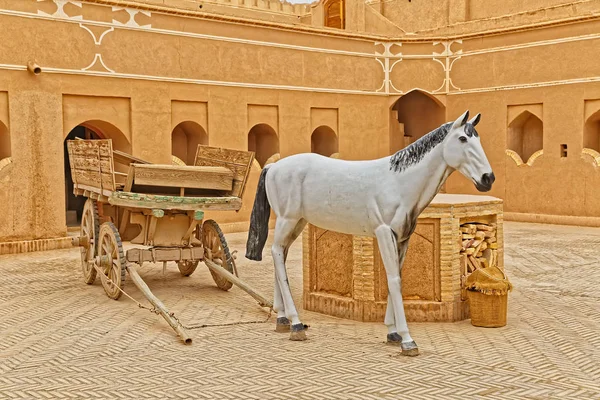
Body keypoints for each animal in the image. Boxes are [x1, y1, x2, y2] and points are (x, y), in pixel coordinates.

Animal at [246, 110, 494, 356]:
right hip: (287, 220)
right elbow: (394, 280)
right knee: (277, 253)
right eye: (462, 138)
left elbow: (397, 277)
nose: (488, 178)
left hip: (297, 222)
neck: (399, 183)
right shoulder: (384, 233)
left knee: (281, 253)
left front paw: (393, 333)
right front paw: (407, 340)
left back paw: (282, 320)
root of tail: (274, 167)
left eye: (478, 138)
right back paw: (296, 324)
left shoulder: (402, 239)